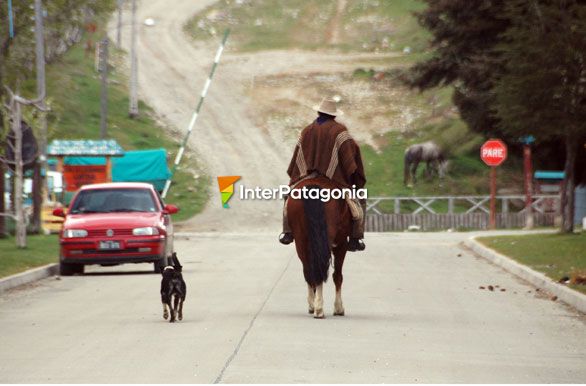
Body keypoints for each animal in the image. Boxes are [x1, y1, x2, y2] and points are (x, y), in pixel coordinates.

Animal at [286, 176, 350, 318]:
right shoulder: (342, 244)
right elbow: (338, 276)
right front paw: (339, 308)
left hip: (301, 240)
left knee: (310, 269)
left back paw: (315, 305)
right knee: (318, 267)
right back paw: (318, 308)